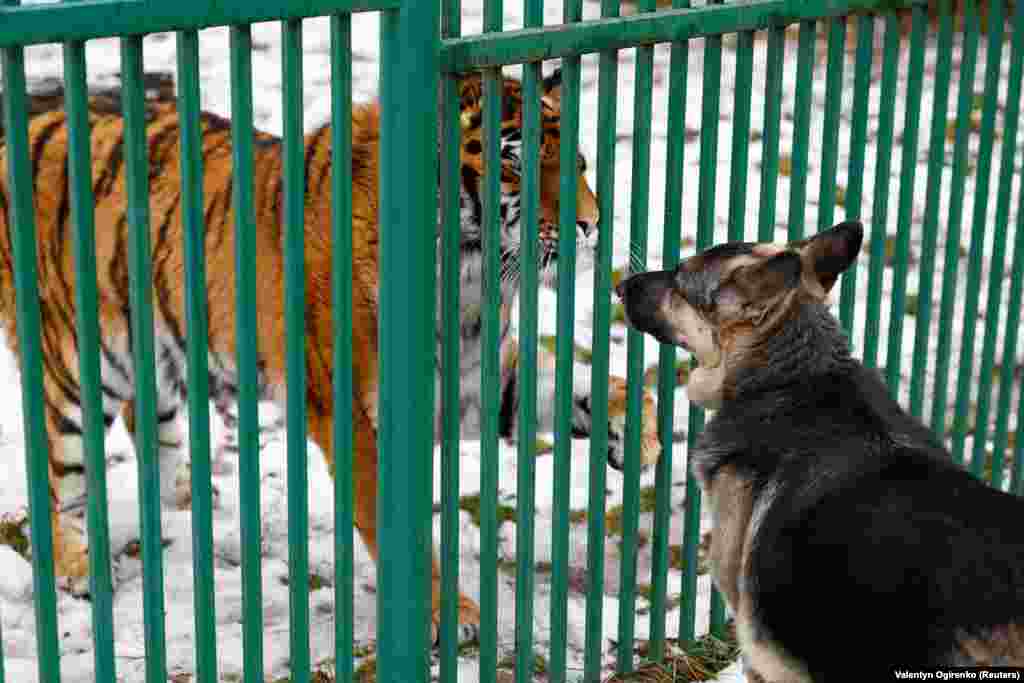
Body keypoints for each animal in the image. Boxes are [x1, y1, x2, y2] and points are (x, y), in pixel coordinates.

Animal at [0, 69, 659, 643]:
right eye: (517, 163)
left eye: (579, 163)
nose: (593, 224)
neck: (471, 278)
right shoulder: (353, 412)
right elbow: (386, 514)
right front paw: (445, 614)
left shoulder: (475, 376)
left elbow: (579, 384)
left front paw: (640, 433)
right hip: (76, 367)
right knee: (57, 479)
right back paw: (79, 568)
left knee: (148, 423)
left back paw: (184, 501)